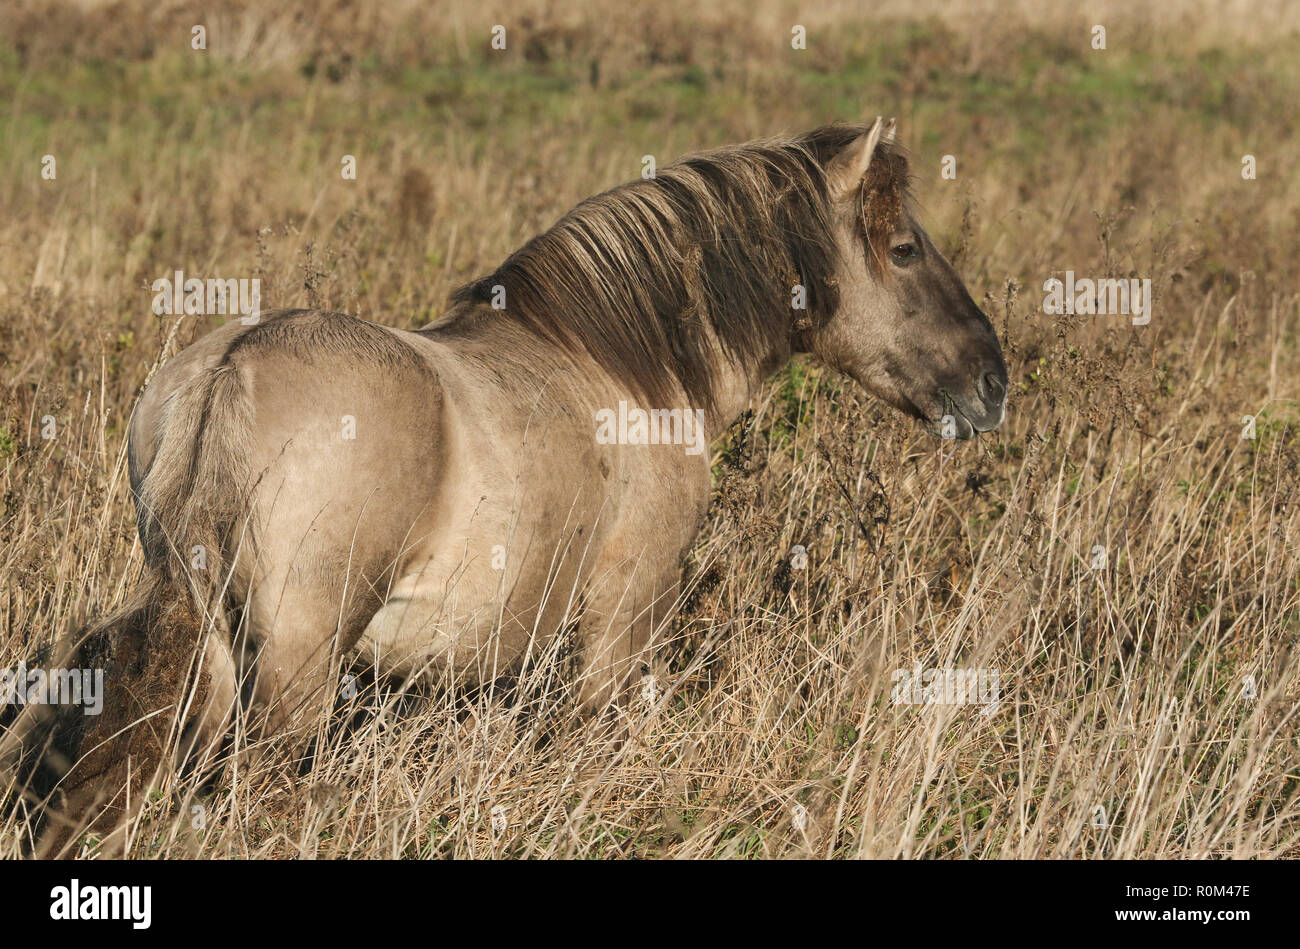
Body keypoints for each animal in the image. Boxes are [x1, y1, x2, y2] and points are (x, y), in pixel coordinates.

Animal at [52, 116, 1007, 840]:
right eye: (904, 248)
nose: (992, 379)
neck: (625, 370)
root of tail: (228, 371)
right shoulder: (621, 622)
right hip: (292, 674)